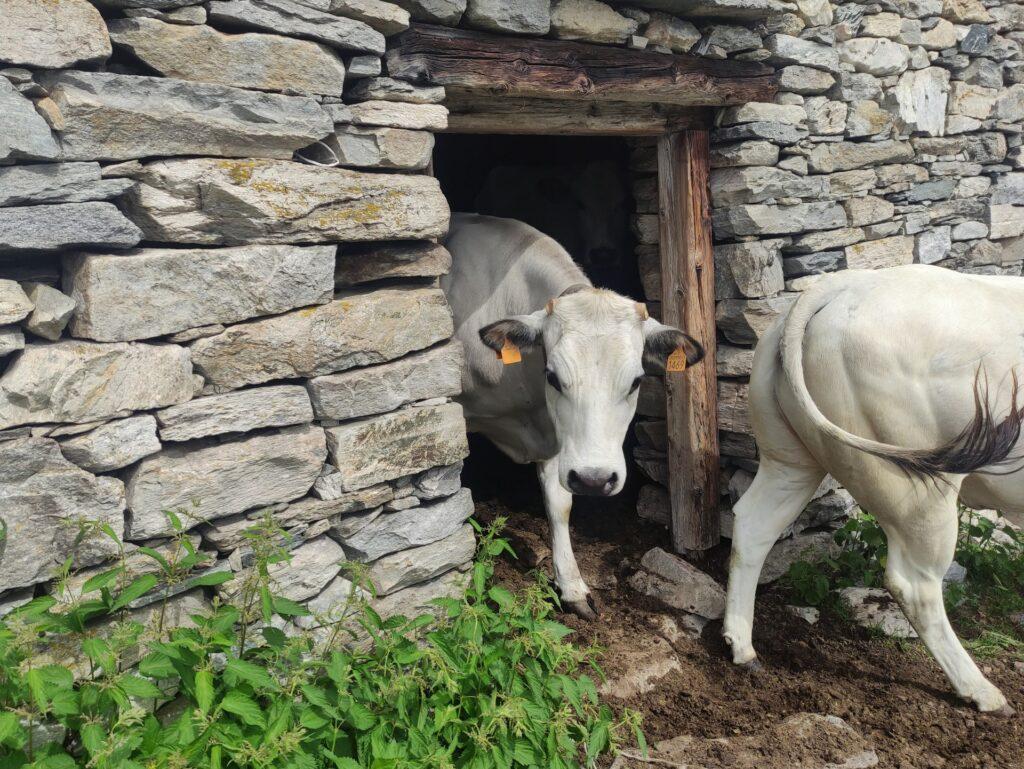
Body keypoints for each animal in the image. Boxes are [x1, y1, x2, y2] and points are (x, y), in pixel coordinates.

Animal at [444, 215, 708, 618]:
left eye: (635, 381)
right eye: (553, 377)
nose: (594, 480)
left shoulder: (561, 441)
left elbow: (560, 504)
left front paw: (571, 585)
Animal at [724, 264, 1024, 716]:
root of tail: (846, 282)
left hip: (789, 459)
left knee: (753, 525)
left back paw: (742, 647)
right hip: (918, 487)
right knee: (913, 584)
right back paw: (981, 692)